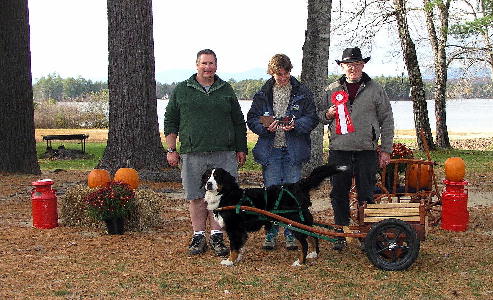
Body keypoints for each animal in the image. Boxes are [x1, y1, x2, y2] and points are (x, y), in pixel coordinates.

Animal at [200, 164, 346, 268]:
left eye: (217, 177)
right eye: (207, 177)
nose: (208, 184)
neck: (226, 194)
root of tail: (298, 185)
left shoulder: (234, 228)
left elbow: (234, 247)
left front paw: (230, 261)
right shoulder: (240, 230)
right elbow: (239, 245)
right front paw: (238, 257)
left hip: (294, 221)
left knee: (304, 243)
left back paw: (300, 262)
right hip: (302, 220)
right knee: (312, 236)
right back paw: (314, 253)